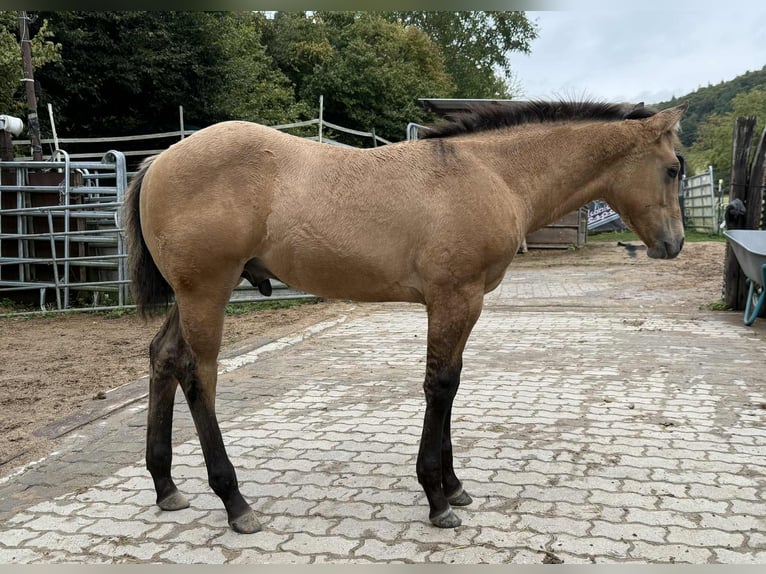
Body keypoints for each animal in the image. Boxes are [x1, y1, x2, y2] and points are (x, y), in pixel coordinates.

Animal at [123, 100, 687, 533]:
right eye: (673, 168)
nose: (674, 244)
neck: (490, 172)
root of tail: (159, 160)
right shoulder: (455, 298)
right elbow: (440, 385)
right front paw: (437, 499)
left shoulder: (462, 302)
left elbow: (452, 383)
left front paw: (455, 487)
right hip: (206, 291)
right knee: (199, 376)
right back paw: (234, 502)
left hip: (191, 296)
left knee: (163, 358)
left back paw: (166, 486)